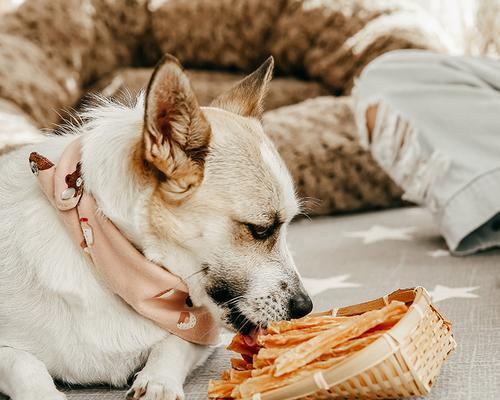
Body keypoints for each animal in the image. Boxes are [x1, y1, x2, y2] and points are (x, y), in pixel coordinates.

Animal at [0, 56, 312, 400]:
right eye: (260, 229)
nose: (306, 307)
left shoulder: (200, 331)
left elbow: (174, 342)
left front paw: (158, 381)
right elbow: (23, 363)